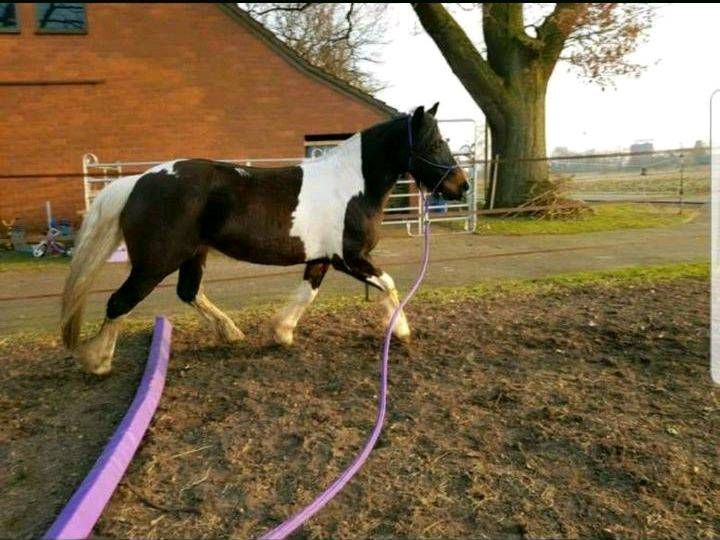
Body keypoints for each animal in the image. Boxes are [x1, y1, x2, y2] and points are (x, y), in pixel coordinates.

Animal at [60, 105, 466, 376]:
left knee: (188, 292)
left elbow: (307, 293)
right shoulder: (349, 258)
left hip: (192, 254)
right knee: (119, 302)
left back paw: (231, 333)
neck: (351, 184)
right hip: (155, 263)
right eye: (433, 143)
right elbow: (389, 284)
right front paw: (401, 330)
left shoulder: (321, 258)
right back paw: (98, 362)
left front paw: (281, 332)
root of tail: (138, 182)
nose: (460, 186)